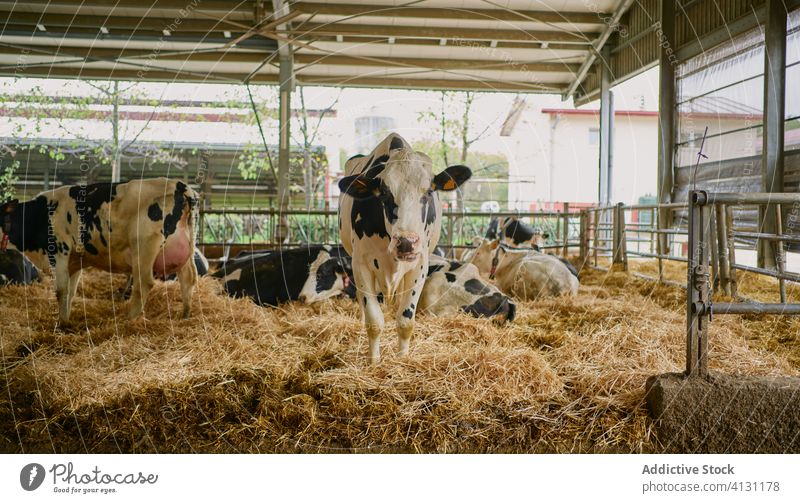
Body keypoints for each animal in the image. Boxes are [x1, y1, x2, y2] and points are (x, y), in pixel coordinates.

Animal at [0, 179, 200, 324]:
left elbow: (61, 291)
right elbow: (70, 292)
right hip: (184, 249)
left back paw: (130, 320)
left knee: (144, 284)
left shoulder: (59, 251)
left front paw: (62, 324)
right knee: (188, 279)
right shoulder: (74, 261)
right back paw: (185, 314)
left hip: (144, 248)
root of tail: (180, 185)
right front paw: (66, 319)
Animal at [336, 133, 468, 362]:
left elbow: (405, 321)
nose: (406, 242)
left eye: (429, 191)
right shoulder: (360, 263)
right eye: (384, 193)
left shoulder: (419, 265)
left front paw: (403, 359)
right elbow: (373, 320)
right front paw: (374, 361)